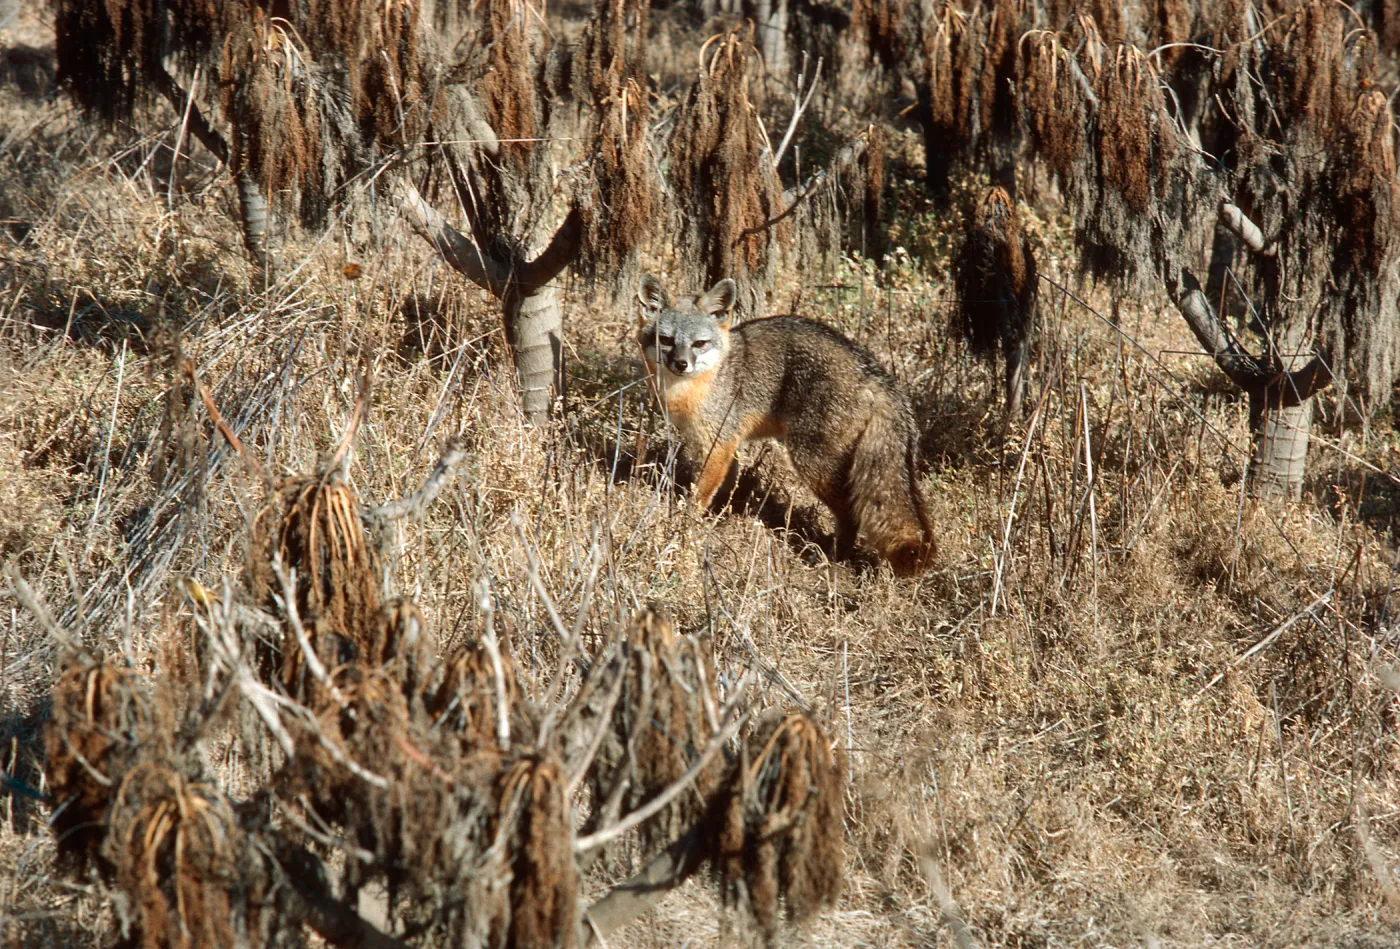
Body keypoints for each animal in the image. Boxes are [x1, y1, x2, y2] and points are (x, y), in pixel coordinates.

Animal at [636, 273, 936, 576]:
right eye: (666, 340)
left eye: (699, 343)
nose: (681, 364)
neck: (695, 386)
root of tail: (876, 375)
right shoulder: (728, 442)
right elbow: (727, 484)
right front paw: (719, 518)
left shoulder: (717, 442)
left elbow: (701, 492)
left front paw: (687, 524)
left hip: (811, 461)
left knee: (851, 513)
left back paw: (831, 558)